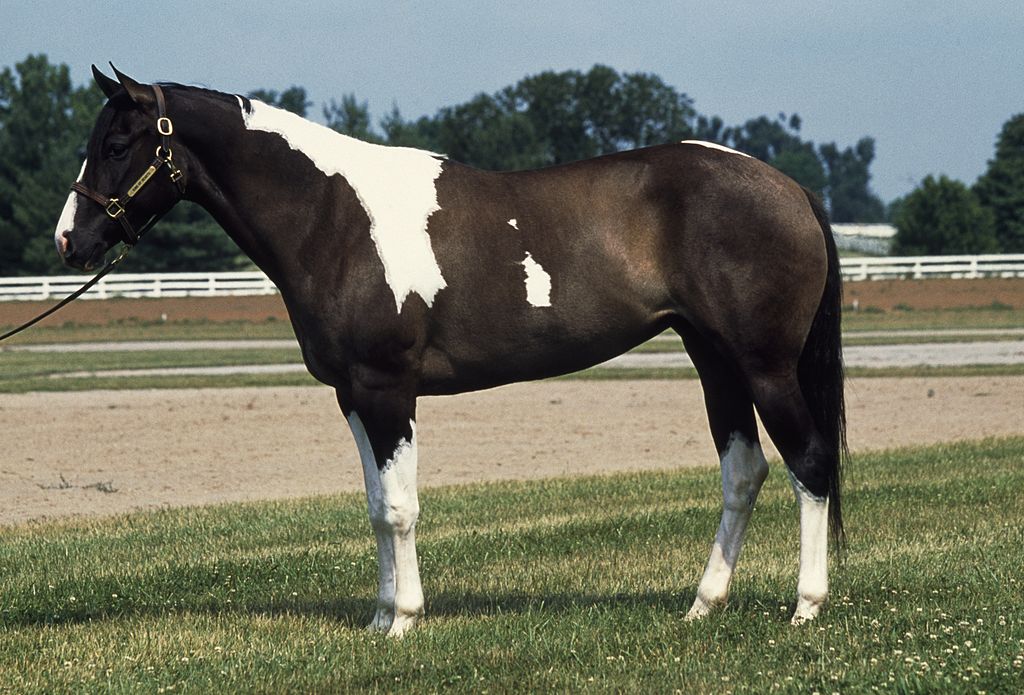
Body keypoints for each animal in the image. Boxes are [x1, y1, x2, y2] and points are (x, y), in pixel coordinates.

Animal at [51, 68, 843, 638]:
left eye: (117, 145)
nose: (69, 240)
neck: (334, 216)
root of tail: (792, 189)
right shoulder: (352, 395)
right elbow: (376, 505)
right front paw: (379, 616)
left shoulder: (386, 388)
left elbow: (401, 507)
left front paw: (404, 619)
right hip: (714, 361)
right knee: (744, 472)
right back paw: (704, 604)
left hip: (764, 367)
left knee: (808, 463)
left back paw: (805, 606)